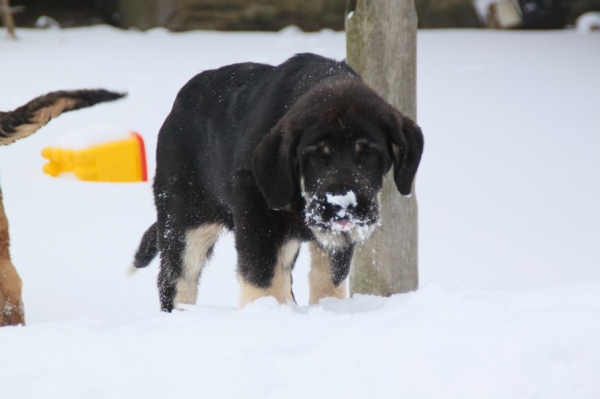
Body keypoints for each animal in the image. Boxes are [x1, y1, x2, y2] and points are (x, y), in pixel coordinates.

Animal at [132, 53, 422, 312]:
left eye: (369, 152)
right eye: (315, 154)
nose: (342, 205)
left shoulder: (335, 239)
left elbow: (328, 281)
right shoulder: (258, 217)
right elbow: (262, 281)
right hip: (185, 221)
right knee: (177, 281)